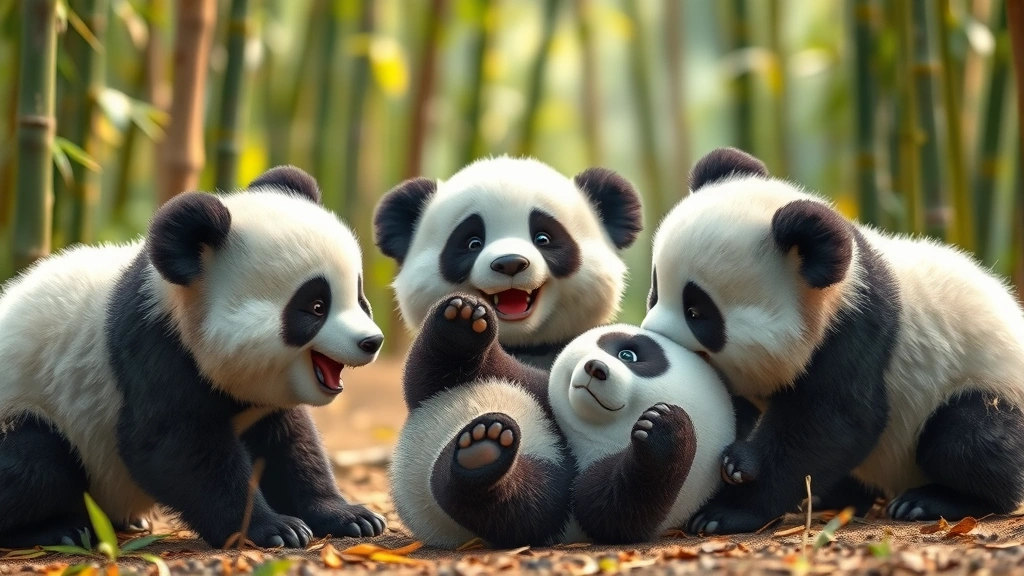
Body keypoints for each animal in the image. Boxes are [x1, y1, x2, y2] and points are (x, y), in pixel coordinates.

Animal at [0, 166, 387, 549]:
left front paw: (350, 516)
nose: (372, 341)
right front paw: (272, 528)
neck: (181, 300)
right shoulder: (155, 348)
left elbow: (289, 445)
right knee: (35, 463)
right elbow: (174, 446)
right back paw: (60, 530)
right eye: (316, 306)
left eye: (359, 296)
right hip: (24, 410)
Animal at [389, 293, 734, 547]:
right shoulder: (536, 389)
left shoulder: (572, 516)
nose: (596, 369)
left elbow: (567, 511)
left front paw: (665, 429)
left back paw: (482, 451)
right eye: (626, 354)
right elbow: (439, 375)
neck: (570, 438)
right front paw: (464, 320)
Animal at [641, 147, 1024, 535]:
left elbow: (833, 422)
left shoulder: (855, 332)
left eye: (696, 311)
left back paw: (931, 501)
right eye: (655, 291)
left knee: (966, 438)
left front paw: (728, 503)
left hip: (988, 385)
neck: (835, 288)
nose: (651, 337)